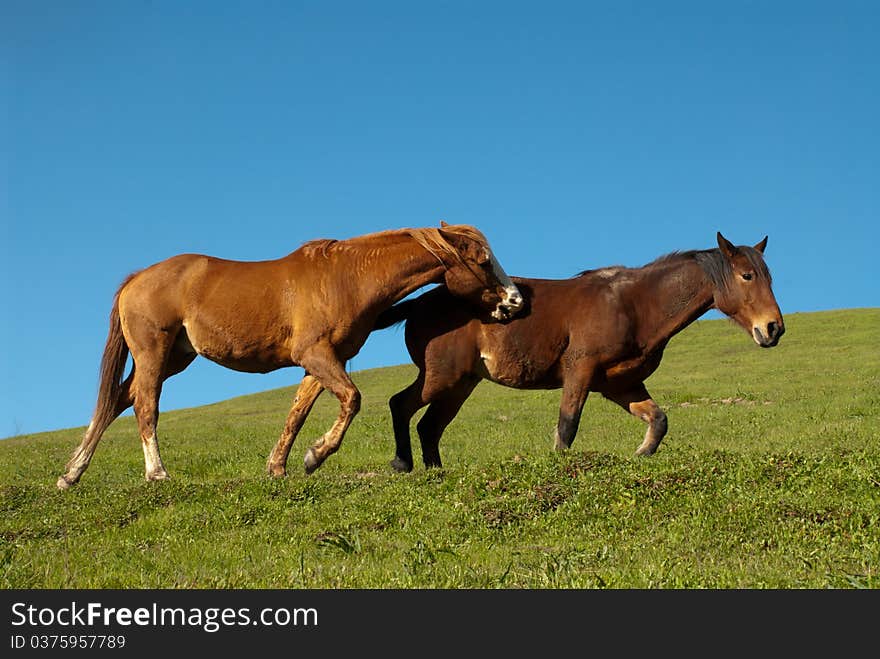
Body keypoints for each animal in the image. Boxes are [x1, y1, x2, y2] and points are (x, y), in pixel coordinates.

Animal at [58, 224, 524, 488]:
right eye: (484, 261)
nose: (515, 301)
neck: (346, 278)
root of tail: (137, 278)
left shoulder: (320, 363)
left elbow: (296, 414)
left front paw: (279, 466)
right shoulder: (316, 355)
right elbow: (352, 400)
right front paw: (316, 455)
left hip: (174, 358)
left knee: (114, 403)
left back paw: (72, 473)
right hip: (154, 355)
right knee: (144, 406)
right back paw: (156, 474)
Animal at [376, 232, 784, 470]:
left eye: (768, 277)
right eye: (747, 276)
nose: (773, 328)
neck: (634, 303)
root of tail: (418, 304)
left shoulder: (621, 385)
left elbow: (659, 421)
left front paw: (640, 455)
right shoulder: (580, 371)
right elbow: (567, 427)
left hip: (460, 384)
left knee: (429, 426)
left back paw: (436, 473)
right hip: (443, 377)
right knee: (401, 405)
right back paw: (402, 464)